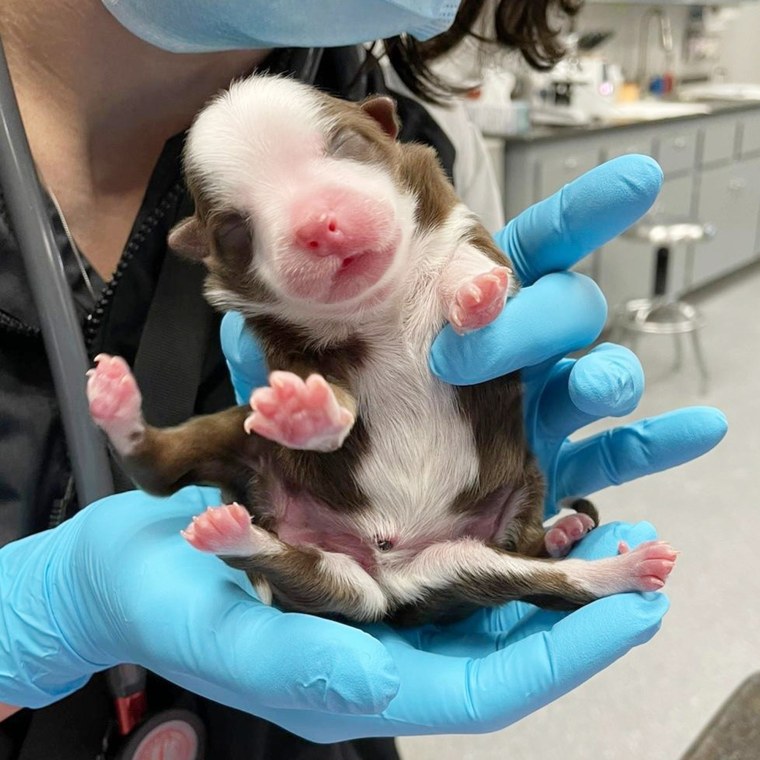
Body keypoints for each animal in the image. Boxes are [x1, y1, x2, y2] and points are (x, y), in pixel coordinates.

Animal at [86, 74, 672, 628]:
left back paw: (598, 551)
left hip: (472, 558)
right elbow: (332, 396)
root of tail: (389, 574)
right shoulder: (286, 345)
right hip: (253, 455)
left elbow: (471, 263)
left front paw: (472, 296)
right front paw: (305, 411)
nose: (318, 224)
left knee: (555, 582)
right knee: (163, 472)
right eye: (234, 229)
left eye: (347, 144)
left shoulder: (460, 226)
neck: (378, 305)